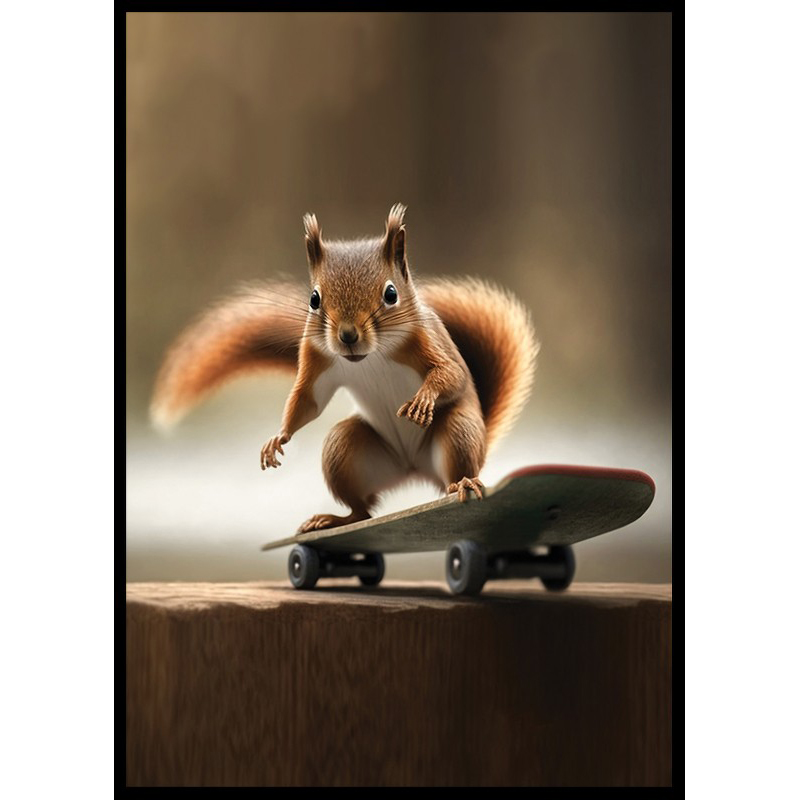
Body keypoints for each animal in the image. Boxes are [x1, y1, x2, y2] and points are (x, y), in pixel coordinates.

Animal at [151, 204, 539, 533]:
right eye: (314, 299)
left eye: (391, 294)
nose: (348, 335)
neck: (373, 356)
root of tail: (412, 468)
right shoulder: (316, 357)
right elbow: (308, 400)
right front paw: (279, 437)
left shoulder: (428, 342)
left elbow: (452, 374)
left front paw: (423, 398)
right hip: (346, 450)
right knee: (362, 509)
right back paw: (335, 519)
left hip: (459, 431)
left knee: (454, 470)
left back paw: (463, 482)